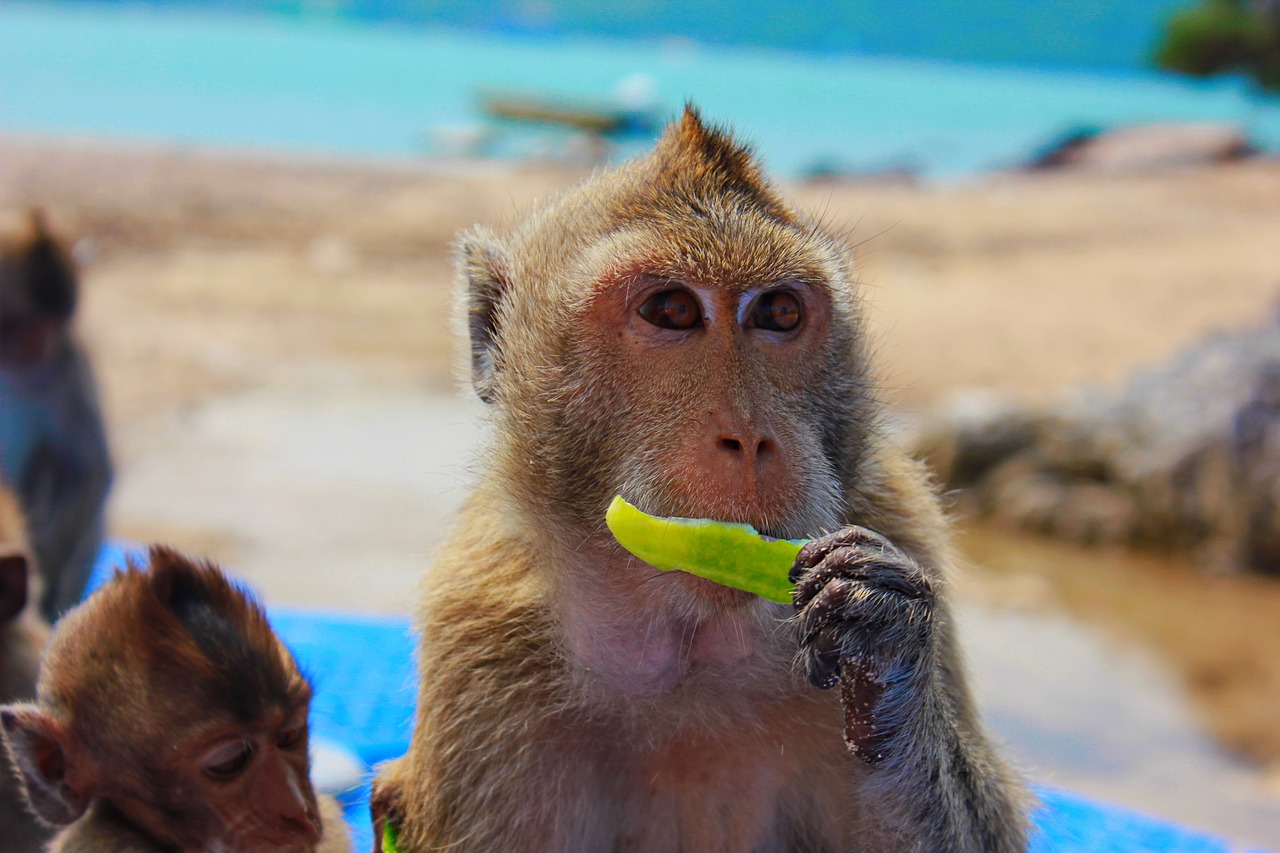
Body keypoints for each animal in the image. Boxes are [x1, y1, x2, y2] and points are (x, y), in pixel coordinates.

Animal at [0, 206, 113, 617]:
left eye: (53, 323)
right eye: (32, 323)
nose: (41, 346)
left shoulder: (68, 370)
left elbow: (91, 470)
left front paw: (43, 569)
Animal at [373, 108, 1029, 850]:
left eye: (778, 313)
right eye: (672, 310)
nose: (749, 439)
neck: (689, 652)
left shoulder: (902, 520)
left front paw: (882, 645)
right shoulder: (481, 628)